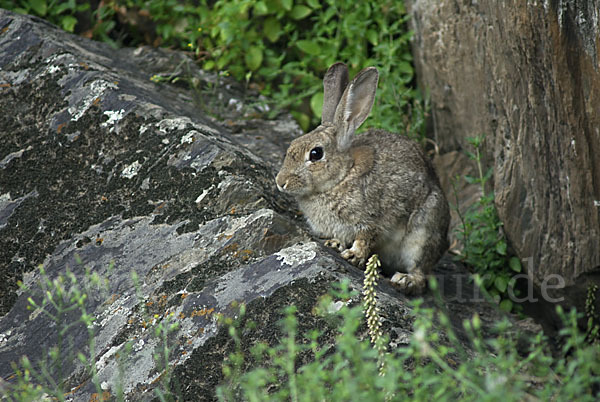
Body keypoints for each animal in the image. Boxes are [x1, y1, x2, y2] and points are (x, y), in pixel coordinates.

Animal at [274, 62, 448, 296]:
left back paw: (404, 281)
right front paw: (335, 245)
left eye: (315, 154)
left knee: (421, 274)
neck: (343, 176)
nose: (280, 182)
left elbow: (365, 238)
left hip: (423, 232)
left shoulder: (372, 220)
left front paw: (352, 255)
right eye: (292, 145)